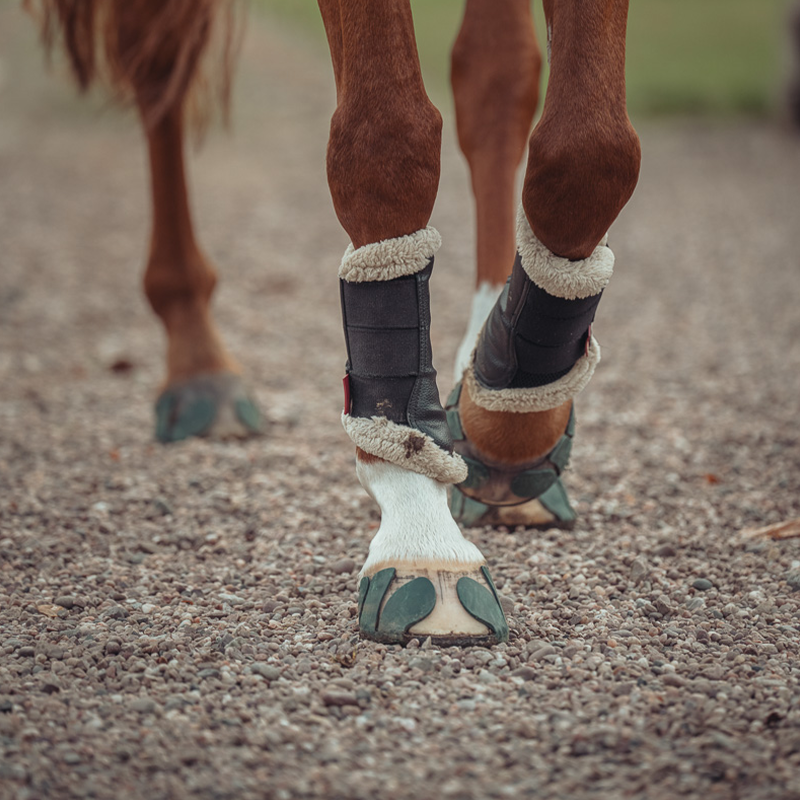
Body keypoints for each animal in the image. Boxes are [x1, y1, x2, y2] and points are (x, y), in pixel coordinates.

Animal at [29, 0, 641, 647]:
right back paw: (199, 370)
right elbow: (386, 140)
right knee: (158, 57)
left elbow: (588, 152)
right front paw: (423, 536)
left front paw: (499, 414)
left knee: (497, 79)